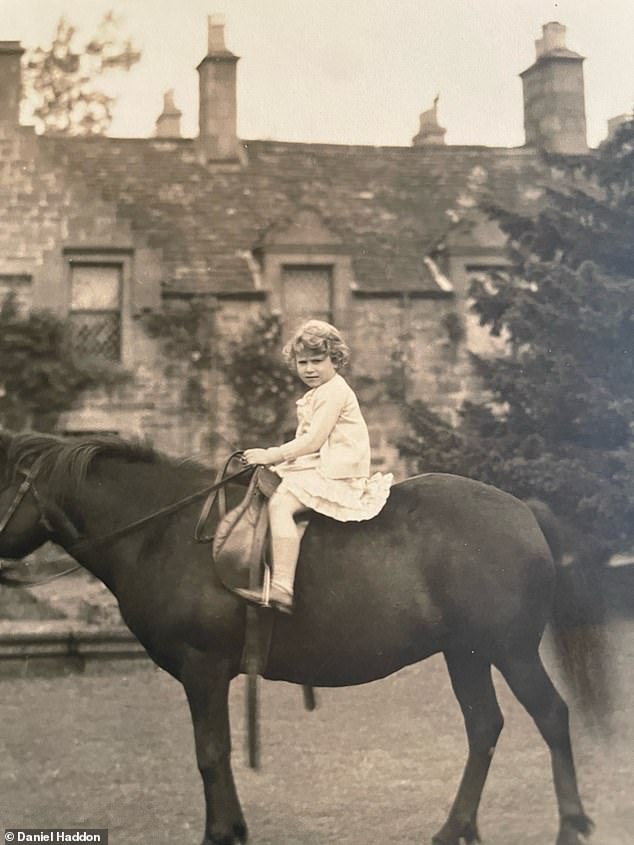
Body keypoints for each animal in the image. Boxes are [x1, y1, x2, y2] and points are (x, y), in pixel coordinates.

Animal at [0, 432, 604, 840]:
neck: (165, 532)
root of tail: (522, 510)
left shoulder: (203, 669)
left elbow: (210, 753)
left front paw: (221, 832)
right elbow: (217, 752)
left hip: (511, 652)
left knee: (551, 717)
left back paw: (571, 823)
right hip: (467, 655)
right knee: (484, 728)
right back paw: (455, 828)